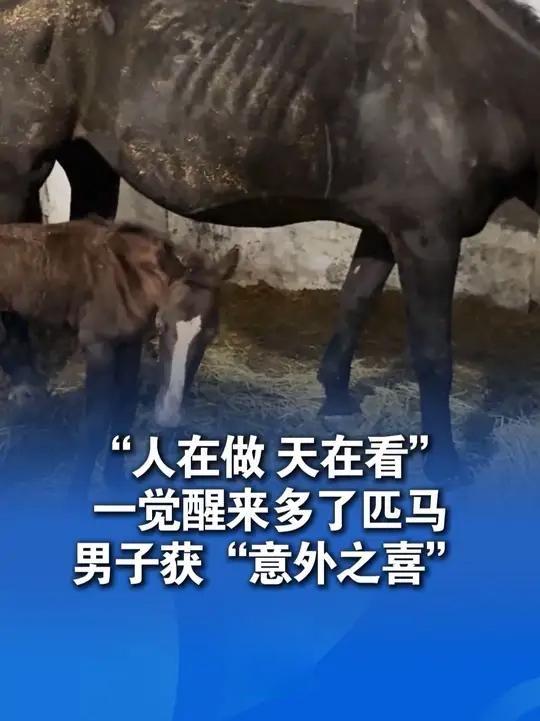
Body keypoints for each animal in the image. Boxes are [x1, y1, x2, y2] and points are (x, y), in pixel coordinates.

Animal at [0, 215, 239, 487]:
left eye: (211, 334)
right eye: (161, 325)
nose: (168, 414)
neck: (129, 279)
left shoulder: (130, 343)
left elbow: (125, 409)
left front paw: (116, 483)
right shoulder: (97, 344)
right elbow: (96, 424)